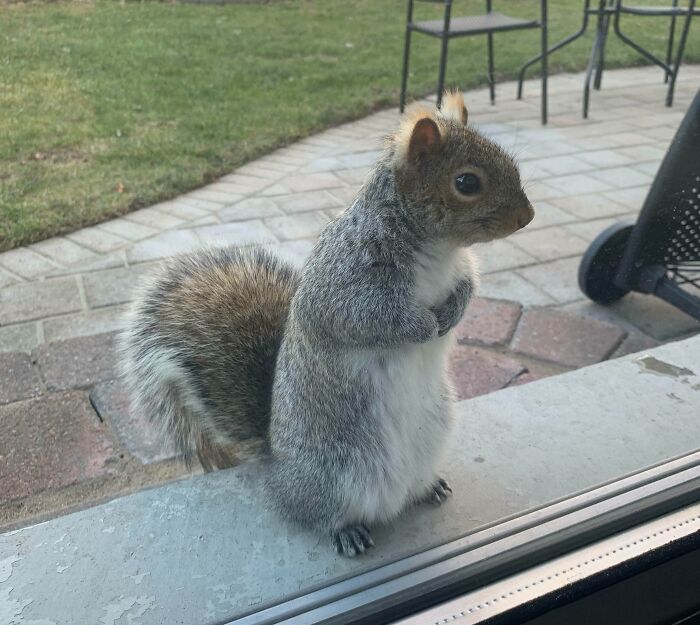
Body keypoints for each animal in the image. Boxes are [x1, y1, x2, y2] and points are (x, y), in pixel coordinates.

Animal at [121, 91, 536, 556]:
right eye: (466, 183)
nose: (528, 216)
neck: (439, 250)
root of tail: (277, 470)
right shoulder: (344, 284)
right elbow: (366, 319)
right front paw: (424, 326)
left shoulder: (461, 269)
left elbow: (468, 288)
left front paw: (450, 313)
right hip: (333, 473)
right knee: (318, 515)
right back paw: (347, 531)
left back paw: (428, 488)